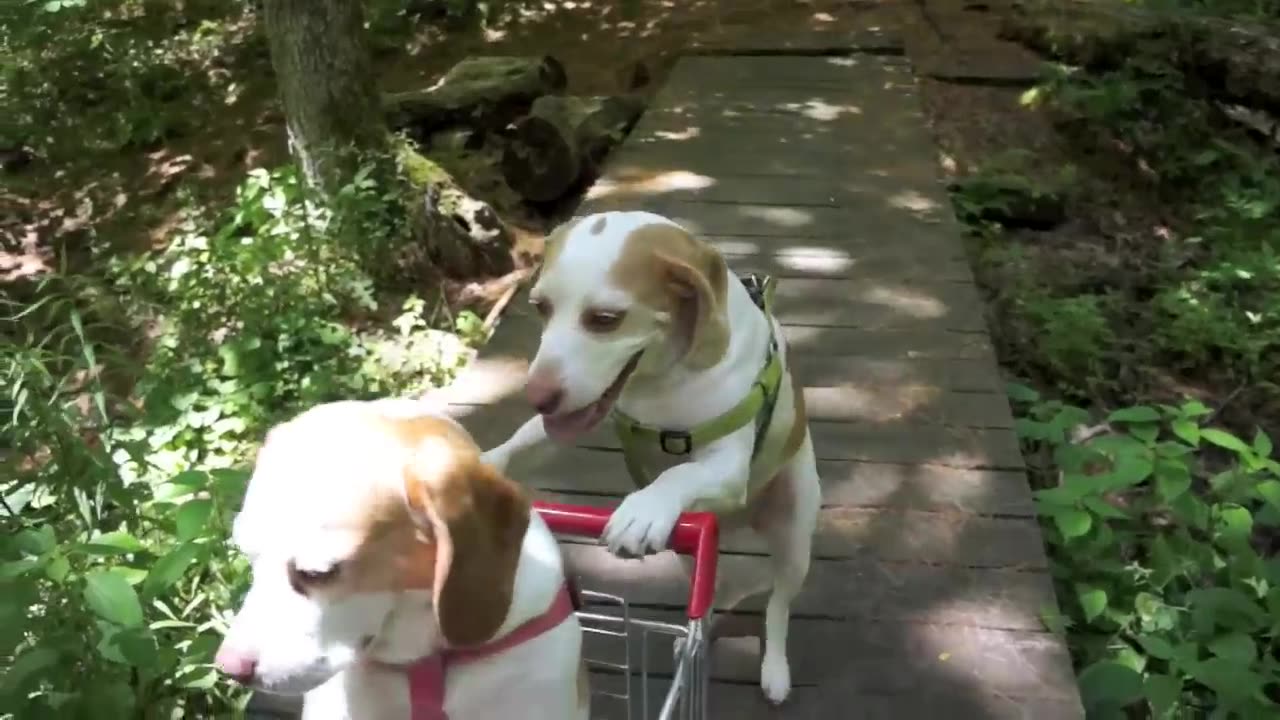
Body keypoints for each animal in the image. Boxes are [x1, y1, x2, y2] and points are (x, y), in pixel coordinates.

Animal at [481, 207, 819, 702]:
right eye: (541, 306)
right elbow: (520, 441)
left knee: (778, 606)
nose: (538, 397)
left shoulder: (727, 466)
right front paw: (480, 463)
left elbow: (678, 476)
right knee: (709, 595)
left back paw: (775, 667)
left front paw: (643, 509)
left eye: (605, 319)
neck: (662, 382)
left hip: (794, 539)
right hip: (687, 553)